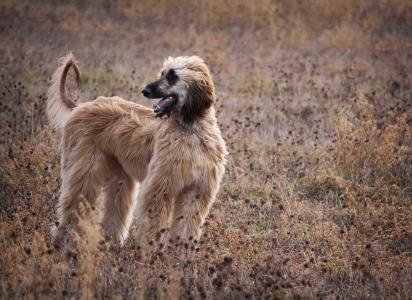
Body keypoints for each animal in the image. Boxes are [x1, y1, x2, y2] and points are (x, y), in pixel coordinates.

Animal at [48, 54, 229, 246]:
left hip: (120, 172)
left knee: (116, 206)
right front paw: (150, 250)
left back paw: (110, 243)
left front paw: (181, 250)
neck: (192, 130)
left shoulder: (197, 190)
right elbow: (154, 223)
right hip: (85, 166)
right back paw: (64, 240)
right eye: (162, 73)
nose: (145, 90)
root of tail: (81, 106)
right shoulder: (160, 187)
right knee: (75, 202)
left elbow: (187, 224)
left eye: (172, 76)